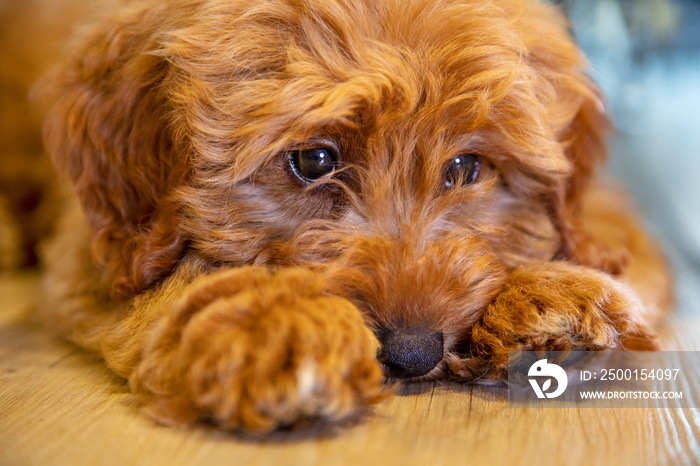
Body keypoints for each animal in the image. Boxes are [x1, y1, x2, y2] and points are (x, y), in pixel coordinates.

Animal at [32, 0, 672, 434]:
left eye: (466, 166)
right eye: (314, 160)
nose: (414, 354)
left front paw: (552, 296)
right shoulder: (94, 252)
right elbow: (170, 284)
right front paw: (276, 322)